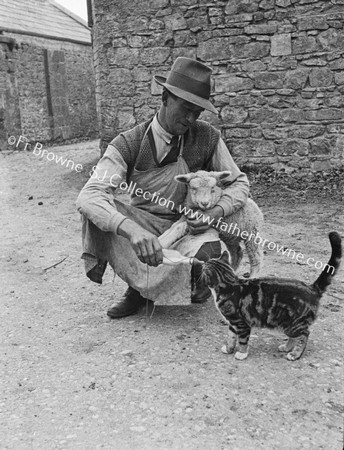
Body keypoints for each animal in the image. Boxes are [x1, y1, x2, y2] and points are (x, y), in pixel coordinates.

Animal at [199, 232, 342, 362]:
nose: (201, 264)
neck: (229, 284)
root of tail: (312, 288)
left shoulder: (241, 323)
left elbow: (243, 341)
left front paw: (242, 353)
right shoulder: (233, 323)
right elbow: (231, 337)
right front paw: (229, 349)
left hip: (293, 324)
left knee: (304, 334)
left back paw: (295, 354)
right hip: (289, 325)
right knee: (296, 336)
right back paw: (287, 347)